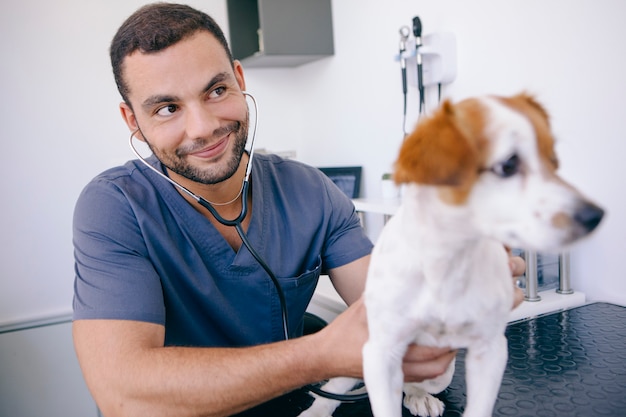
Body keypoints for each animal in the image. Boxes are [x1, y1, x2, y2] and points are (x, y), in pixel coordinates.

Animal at [300, 94, 604, 416]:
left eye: (554, 161)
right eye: (509, 164)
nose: (594, 216)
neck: (448, 260)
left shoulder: (490, 350)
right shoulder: (382, 351)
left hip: (442, 371)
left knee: (414, 384)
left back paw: (419, 396)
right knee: (334, 387)